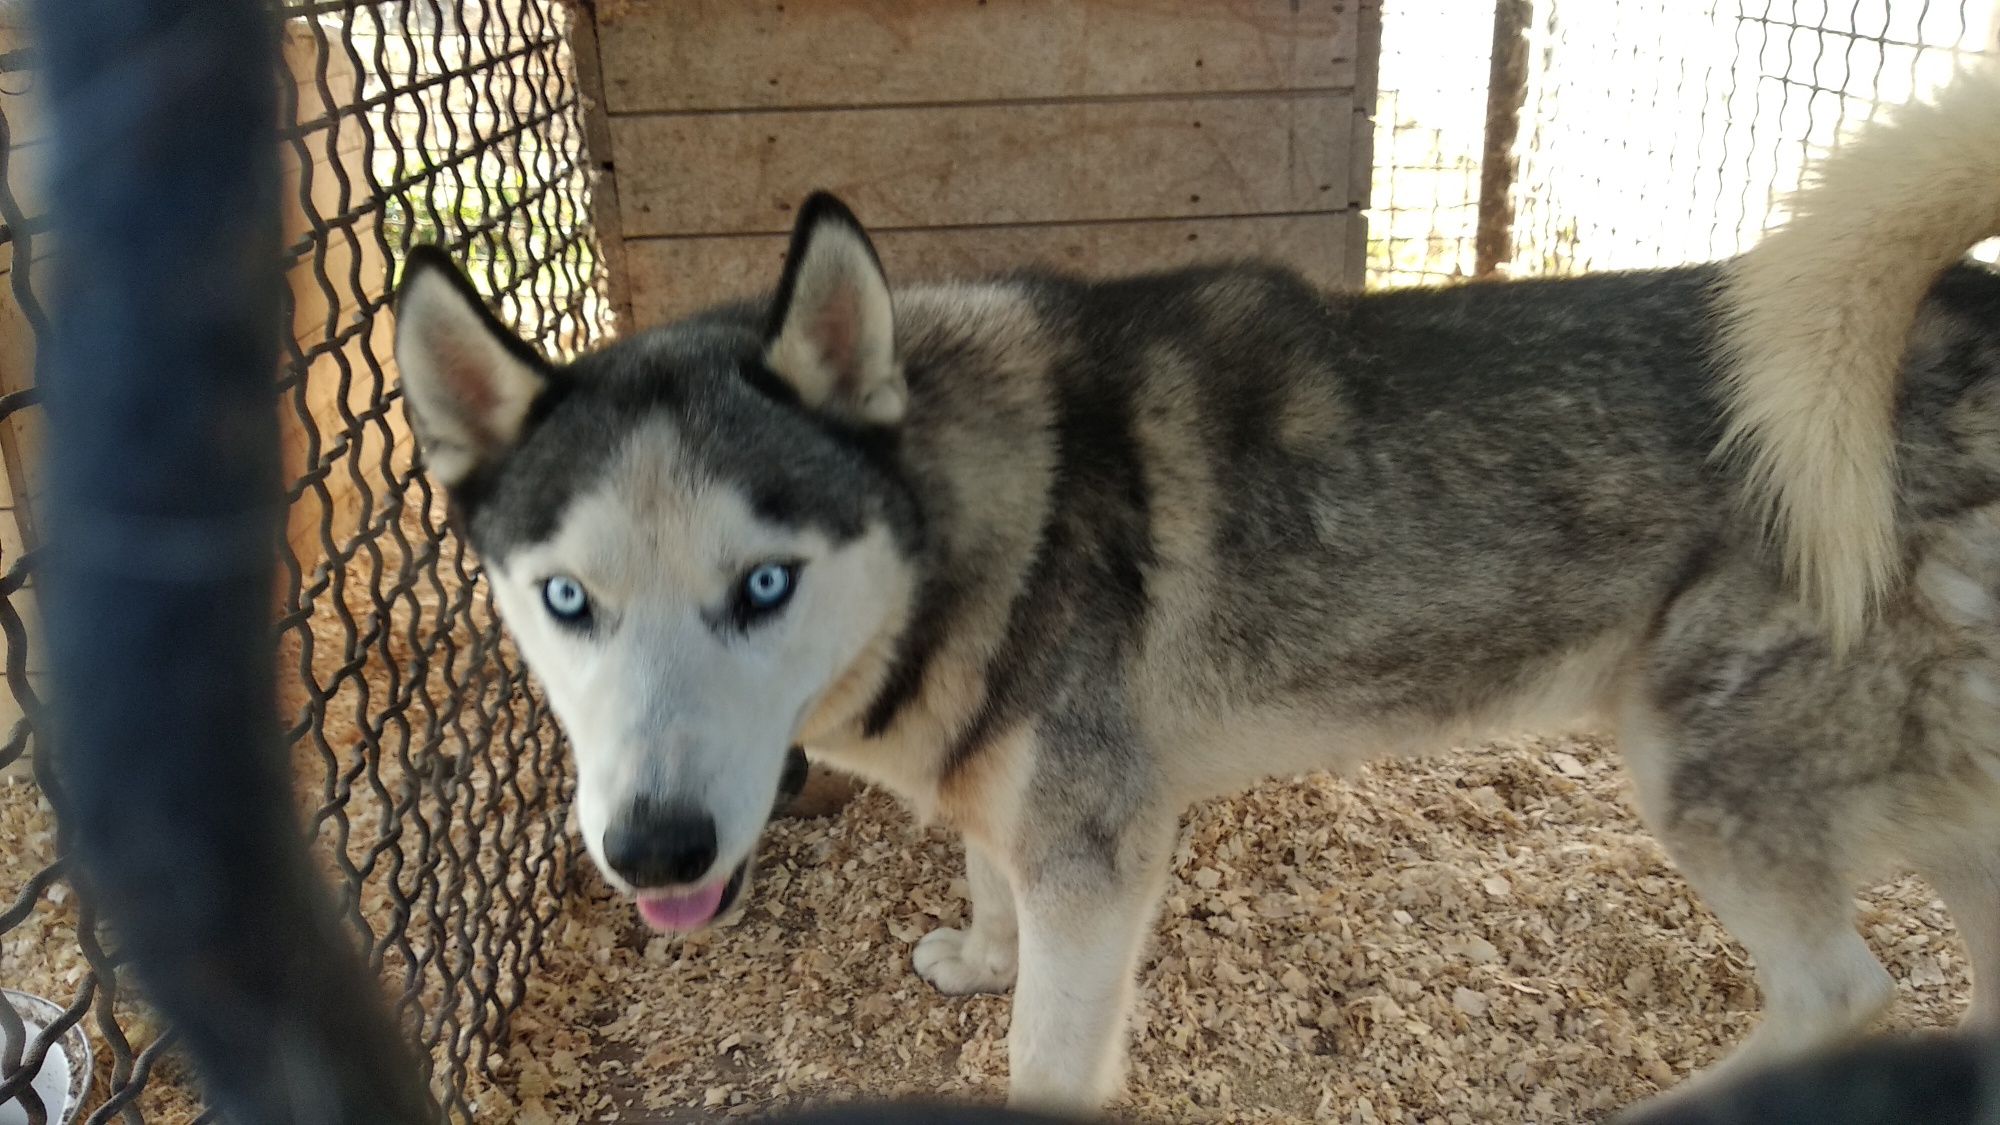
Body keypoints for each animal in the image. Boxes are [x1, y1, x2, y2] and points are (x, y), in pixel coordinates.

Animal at [394, 65, 2000, 1104]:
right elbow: (985, 883)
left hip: (1701, 774)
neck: (984, 528)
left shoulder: (1099, 854)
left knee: (1843, 996)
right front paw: (978, 955)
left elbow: (1049, 1055)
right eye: (566, 600)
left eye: (765, 583)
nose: (654, 847)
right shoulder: (1018, 804)